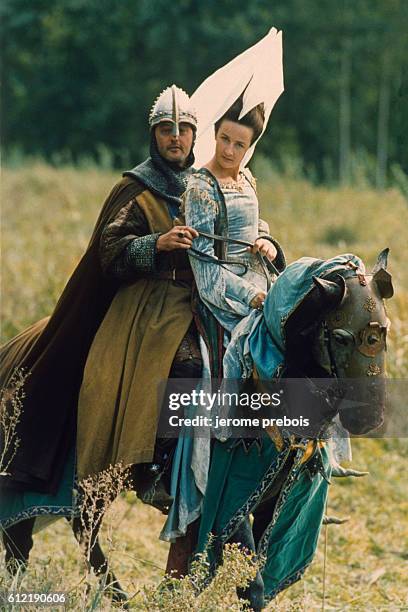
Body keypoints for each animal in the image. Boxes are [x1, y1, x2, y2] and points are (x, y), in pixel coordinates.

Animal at [1, 250, 394, 608]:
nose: (370, 418)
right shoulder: (227, 502)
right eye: (341, 338)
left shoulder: (269, 503)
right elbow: (249, 583)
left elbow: (250, 578)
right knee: (39, 537)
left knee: (66, 530)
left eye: (383, 334)